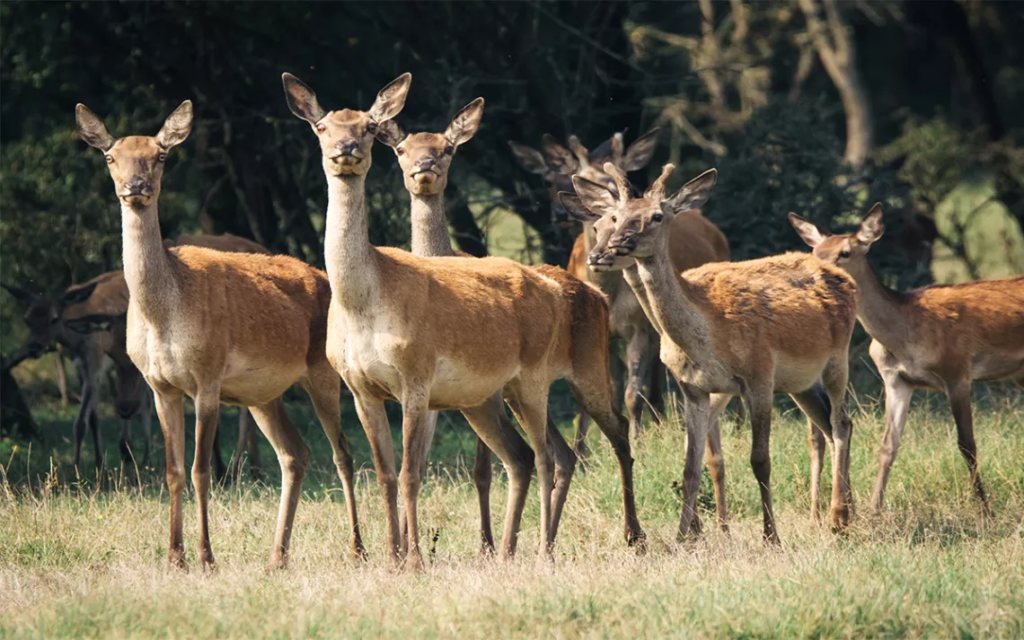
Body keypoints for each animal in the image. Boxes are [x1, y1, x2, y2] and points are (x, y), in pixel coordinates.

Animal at [75, 100, 364, 571]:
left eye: (160, 155)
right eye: (111, 157)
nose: (136, 186)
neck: (164, 316)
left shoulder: (207, 378)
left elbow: (200, 470)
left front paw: (206, 557)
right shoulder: (161, 386)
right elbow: (173, 471)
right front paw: (174, 557)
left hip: (324, 372)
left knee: (342, 452)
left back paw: (357, 549)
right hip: (263, 393)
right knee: (295, 454)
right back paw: (277, 555)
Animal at [282, 72, 642, 570]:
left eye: (370, 126)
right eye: (321, 126)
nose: (346, 148)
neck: (363, 306)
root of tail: (577, 293)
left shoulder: (416, 378)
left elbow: (412, 473)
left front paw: (415, 559)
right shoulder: (359, 388)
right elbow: (386, 475)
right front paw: (391, 555)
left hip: (555, 373)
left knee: (573, 448)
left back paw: (597, 543)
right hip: (490, 395)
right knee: (530, 456)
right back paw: (513, 549)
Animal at [510, 131, 730, 454]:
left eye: (611, 179)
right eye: (550, 180)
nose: (601, 255)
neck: (611, 298)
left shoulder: (638, 328)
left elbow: (631, 393)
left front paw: (637, 441)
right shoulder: (604, 335)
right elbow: (611, 390)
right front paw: (600, 445)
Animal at [571, 163, 858, 542]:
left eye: (657, 215)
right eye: (615, 217)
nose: (611, 248)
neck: (706, 335)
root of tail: (846, 280)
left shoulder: (759, 375)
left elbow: (760, 460)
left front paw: (771, 537)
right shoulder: (694, 388)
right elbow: (690, 467)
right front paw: (683, 538)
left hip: (838, 357)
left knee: (841, 423)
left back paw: (839, 518)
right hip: (802, 383)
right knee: (828, 426)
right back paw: (845, 514)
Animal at [790, 204, 1024, 515]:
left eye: (845, 252)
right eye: (815, 252)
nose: (818, 273)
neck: (905, 337)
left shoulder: (957, 371)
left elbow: (967, 444)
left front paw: (985, 510)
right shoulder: (896, 380)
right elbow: (888, 445)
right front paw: (874, 510)